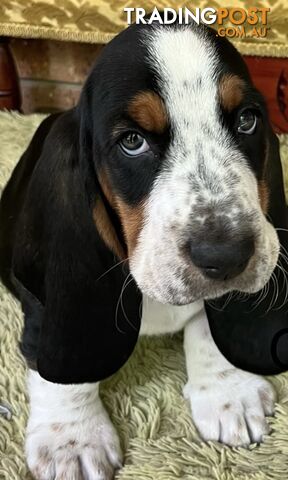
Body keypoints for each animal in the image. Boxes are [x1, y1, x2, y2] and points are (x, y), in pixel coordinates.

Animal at [0, 19, 284, 480]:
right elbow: (58, 370)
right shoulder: (47, 306)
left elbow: (208, 323)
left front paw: (229, 390)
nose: (225, 257)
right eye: (132, 142)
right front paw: (72, 440)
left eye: (246, 121)